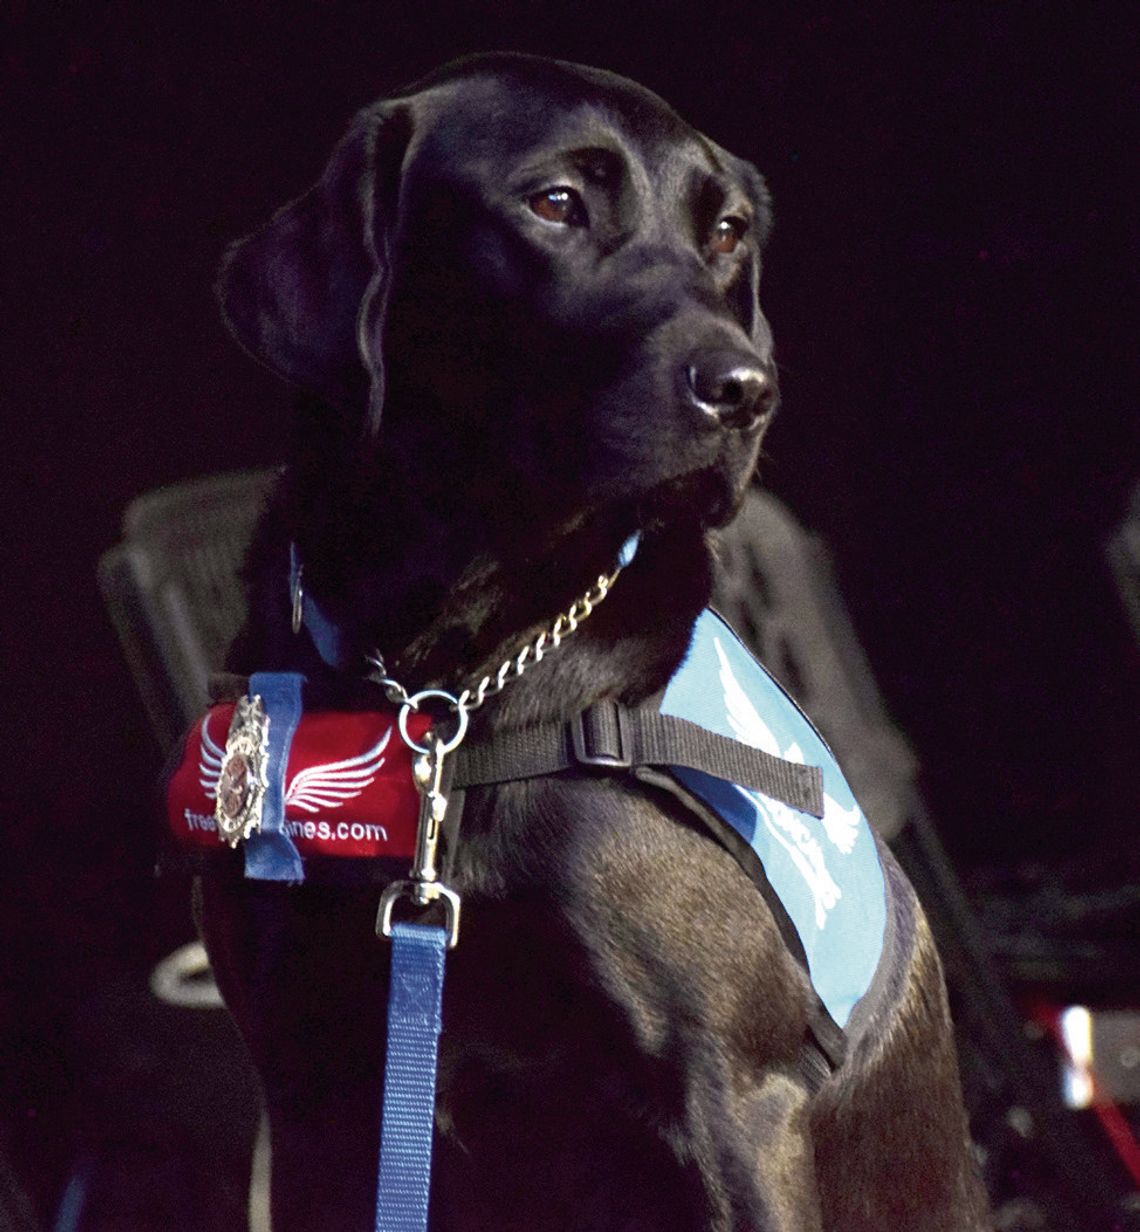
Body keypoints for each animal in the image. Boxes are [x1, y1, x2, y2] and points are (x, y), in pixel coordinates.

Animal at [198, 52, 985, 1227]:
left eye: (728, 231)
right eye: (556, 203)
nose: (749, 389)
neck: (451, 678)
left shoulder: (742, 1103)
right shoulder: (315, 1093)